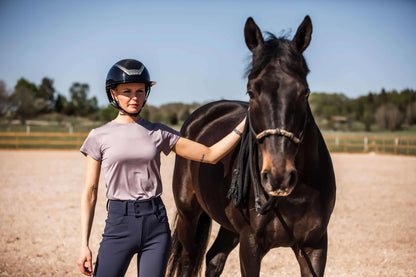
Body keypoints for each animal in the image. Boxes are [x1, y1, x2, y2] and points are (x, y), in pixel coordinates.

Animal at [167, 16, 336, 274]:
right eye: (251, 92)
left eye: (304, 92)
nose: (278, 177)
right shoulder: (251, 244)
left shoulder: (314, 245)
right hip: (189, 213)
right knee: (189, 259)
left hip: (229, 228)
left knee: (214, 258)